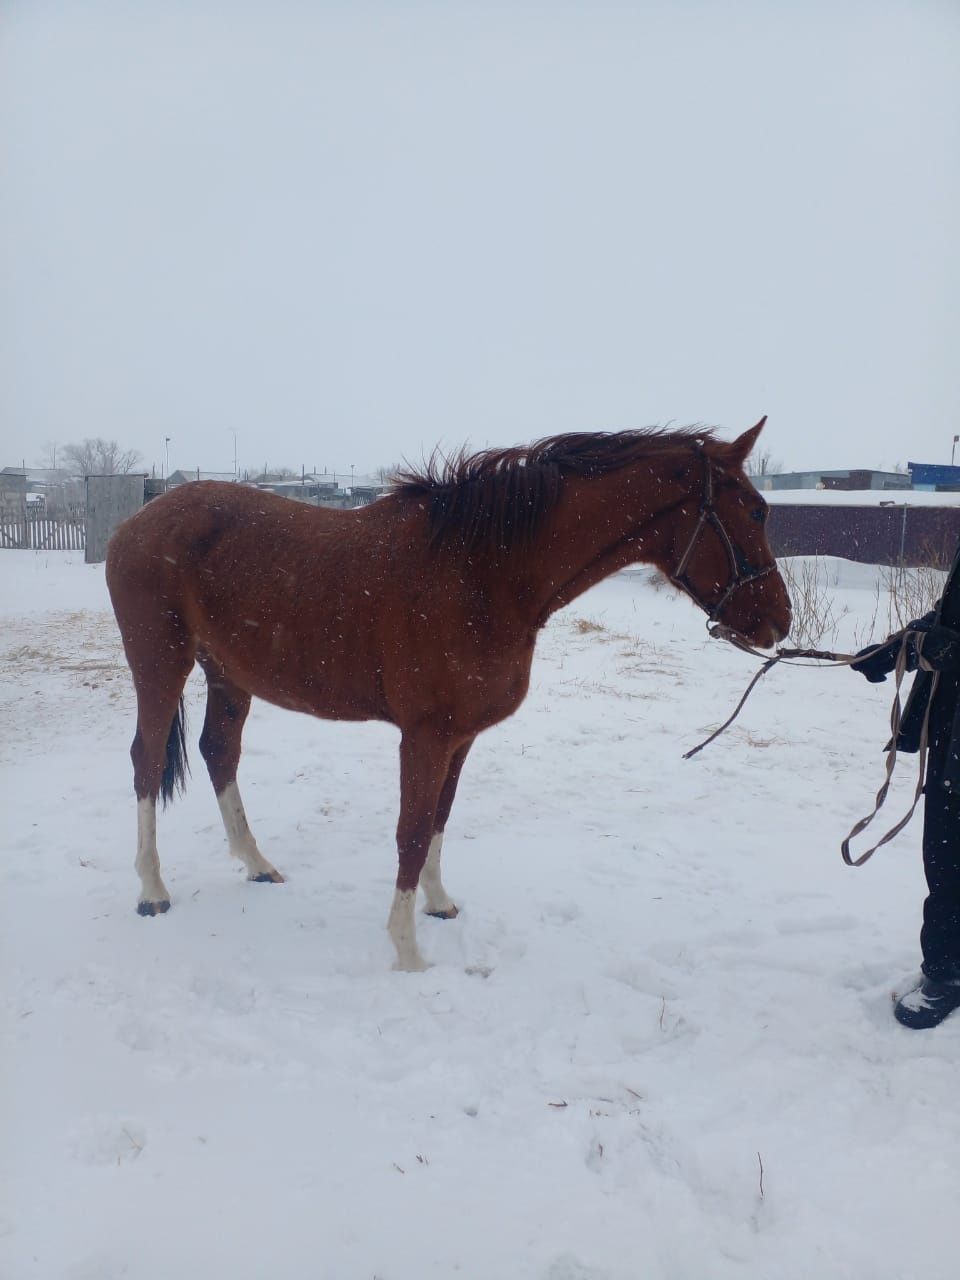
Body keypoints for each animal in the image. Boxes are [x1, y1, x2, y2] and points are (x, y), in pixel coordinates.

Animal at [104, 419, 793, 967]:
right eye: (756, 511)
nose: (780, 622)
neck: (484, 571)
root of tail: (133, 523)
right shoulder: (426, 737)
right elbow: (410, 831)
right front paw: (408, 952)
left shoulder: (460, 738)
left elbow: (439, 817)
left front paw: (437, 905)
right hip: (160, 665)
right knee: (145, 760)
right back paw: (151, 891)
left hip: (229, 675)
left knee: (219, 752)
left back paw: (256, 864)